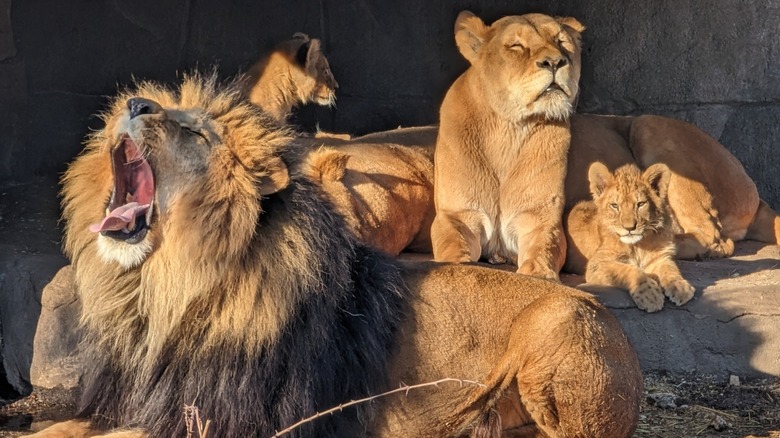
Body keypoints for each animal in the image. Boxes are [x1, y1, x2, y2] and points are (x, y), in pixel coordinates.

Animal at [431, 11, 585, 281]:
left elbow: (545, 247)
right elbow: (452, 244)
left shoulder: (539, 216)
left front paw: (538, 275)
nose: (555, 62)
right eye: (516, 46)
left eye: (562, 42)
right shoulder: (457, 214)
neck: (508, 128)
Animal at [565, 162, 695, 312]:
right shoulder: (596, 264)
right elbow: (630, 270)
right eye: (615, 206)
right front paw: (650, 295)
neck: (638, 246)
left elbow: (671, 269)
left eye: (640, 204)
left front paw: (680, 286)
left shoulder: (660, 258)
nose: (629, 228)